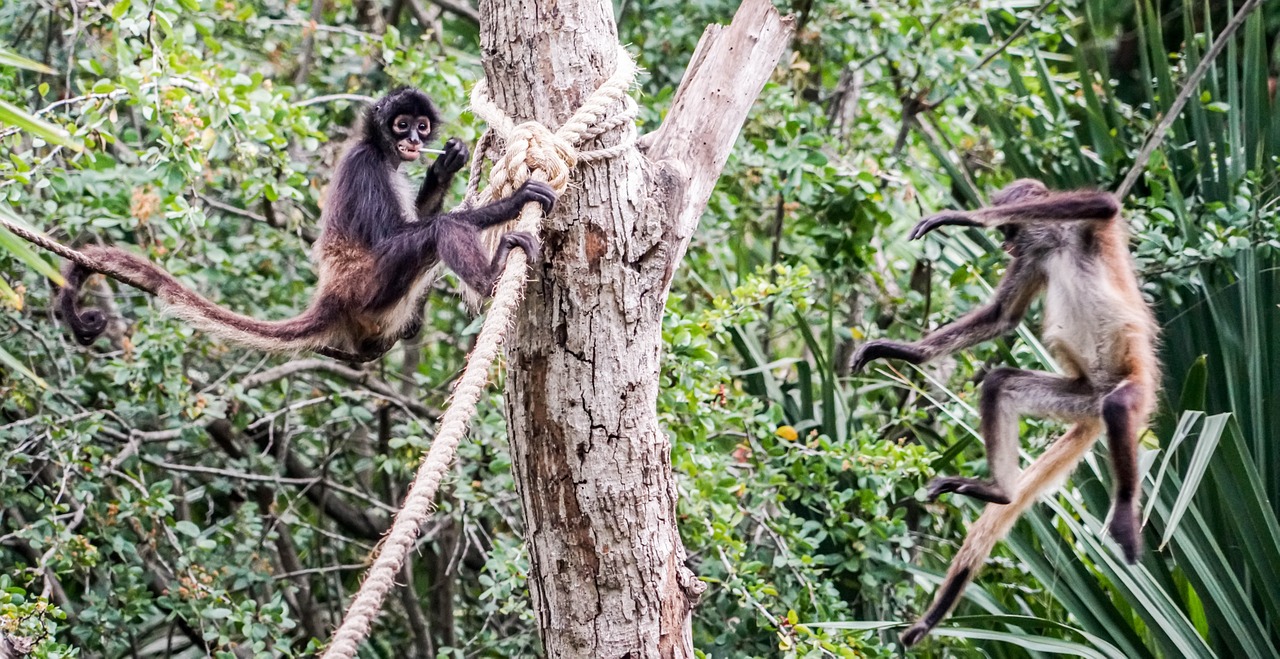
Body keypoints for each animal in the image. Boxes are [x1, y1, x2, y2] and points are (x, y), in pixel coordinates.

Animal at [58, 87, 555, 360]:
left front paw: (443, 167)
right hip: (368, 288)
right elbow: (403, 233)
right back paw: (492, 278)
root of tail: (332, 295)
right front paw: (511, 201)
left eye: (421, 127)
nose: (414, 141)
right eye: (400, 125)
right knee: (441, 231)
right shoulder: (365, 165)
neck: (381, 151)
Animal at [849, 180, 1162, 650]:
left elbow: (1105, 203)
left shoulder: (1077, 231)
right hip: (1080, 396)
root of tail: (1097, 401)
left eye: (1010, 228)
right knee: (1000, 383)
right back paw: (998, 491)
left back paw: (1123, 509)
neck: (1055, 241)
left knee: (1118, 406)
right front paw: (903, 351)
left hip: (1131, 389)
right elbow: (1001, 318)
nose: (1005, 243)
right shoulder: (1033, 257)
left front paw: (964, 217)